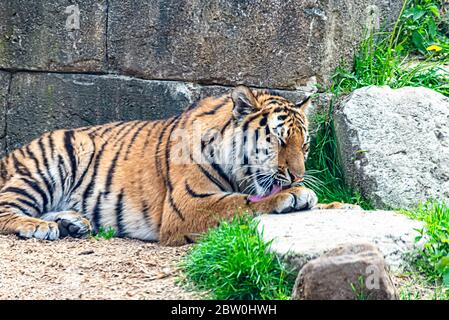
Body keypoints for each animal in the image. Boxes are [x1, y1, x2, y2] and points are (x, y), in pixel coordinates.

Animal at [0, 85, 358, 245]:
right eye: (280, 141)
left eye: (305, 144)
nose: (298, 175)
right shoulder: (187, 205)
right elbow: (240, 202)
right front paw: (292, 195)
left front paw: (342, 206)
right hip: (50, 164)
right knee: (6, 208)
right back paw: (41, 227)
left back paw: (74, 222)